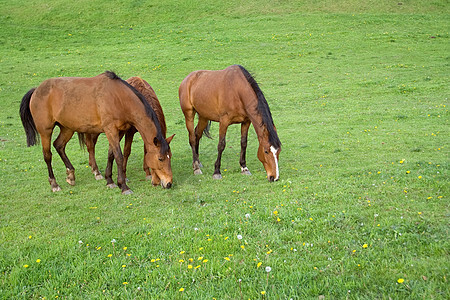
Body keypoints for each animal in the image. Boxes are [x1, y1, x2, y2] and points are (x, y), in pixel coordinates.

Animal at [20, 72, 173, 195]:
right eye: (160, 159)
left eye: (169, 156)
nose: (169, 183)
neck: (119, 98)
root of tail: (36, 90)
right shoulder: (111, 130)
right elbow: (119, 156)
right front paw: (123, 186)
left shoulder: (120, 132)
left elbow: (111, 154)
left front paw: (109, 180)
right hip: (45, 131)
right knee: (47, 155)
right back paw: (54, 184)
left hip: (67, 128)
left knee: (59, 145)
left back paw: (71, 174)